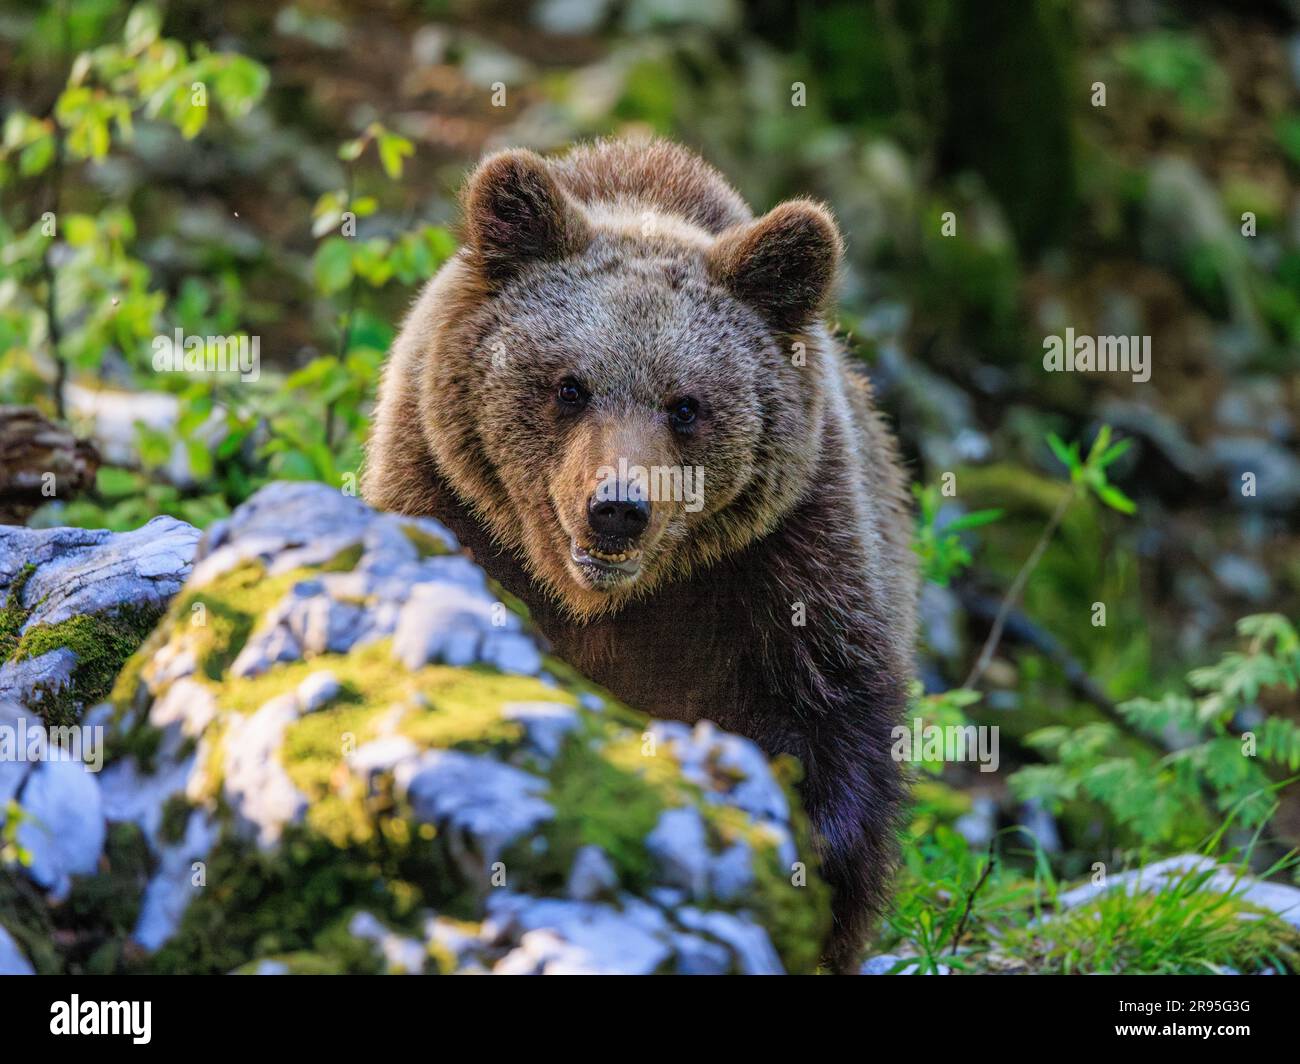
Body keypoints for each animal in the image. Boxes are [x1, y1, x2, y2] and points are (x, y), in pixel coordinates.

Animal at [363, 138, 917, 972]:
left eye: (685, 405)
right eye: (570, 386)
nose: (619, 509)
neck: (604, 603)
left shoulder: (786, 564)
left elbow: (827, 727)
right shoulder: (440, 497)